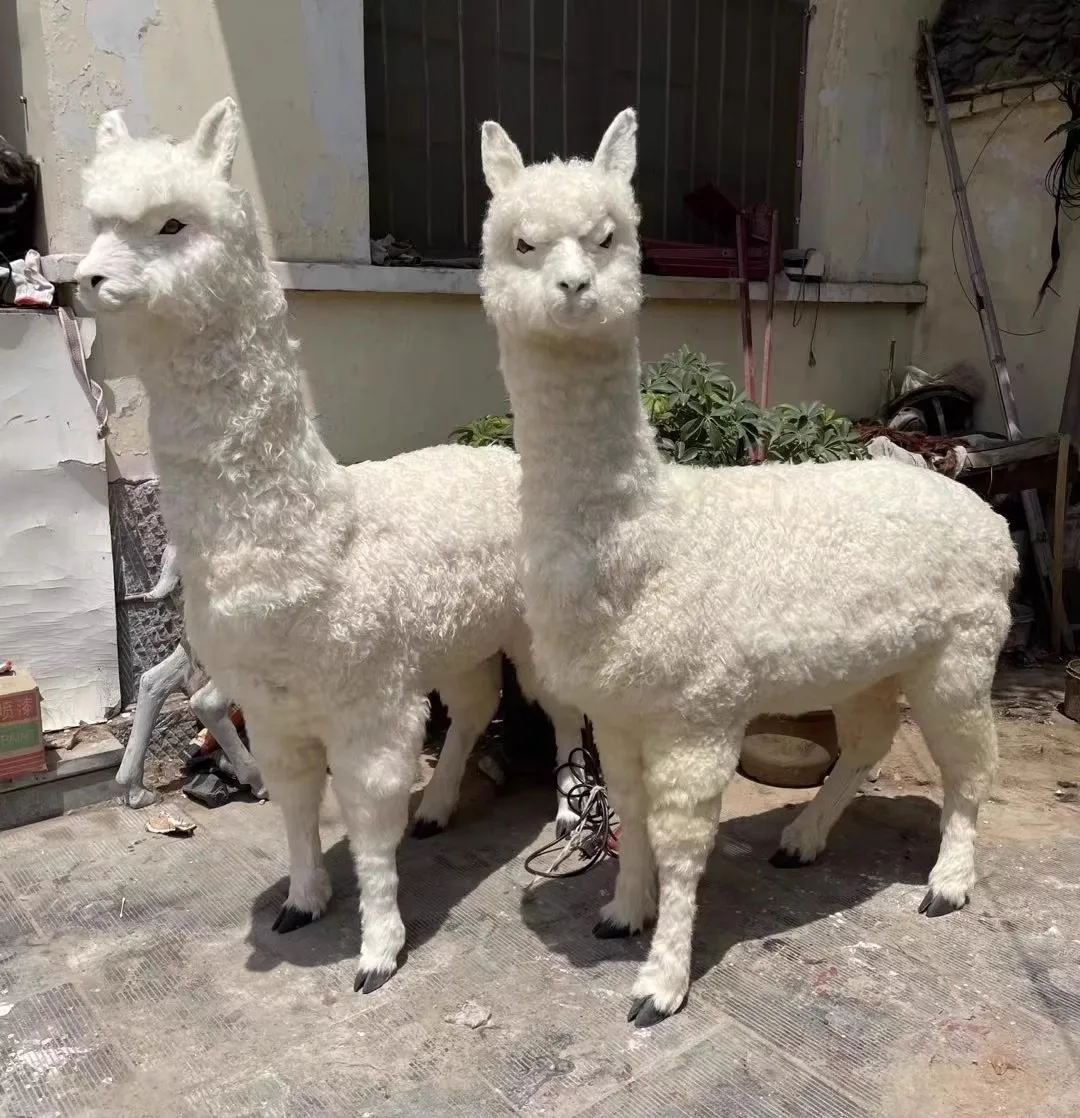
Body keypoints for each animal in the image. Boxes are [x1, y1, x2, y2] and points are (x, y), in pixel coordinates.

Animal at [75, 98, 583, 993]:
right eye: (97, 221)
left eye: (172, 222)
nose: (86, 279)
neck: (315, 531)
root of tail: (503, 456)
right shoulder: (279, 707)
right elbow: (295, 804)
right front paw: (304, 901)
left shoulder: (367, 702)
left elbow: (370, 820)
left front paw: (378, 951)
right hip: (453, 634)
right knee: (474, 705)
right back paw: (439, 808)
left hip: (527, 627)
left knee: (554, 708)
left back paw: (560, 811)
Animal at [477, 107, 1017, 1026]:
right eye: (522, 242)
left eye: (609, 237)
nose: (575, 288)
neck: (647, 540)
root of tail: (993, 525)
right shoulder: (617, 709)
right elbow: (628, 815)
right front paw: (622, 911)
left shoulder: (698, 710)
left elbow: (682, 841)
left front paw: (660, 984)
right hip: (875, 656)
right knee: (867, 739)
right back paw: (803, 838)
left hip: (962, 648)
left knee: (970, 761)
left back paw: (948, 882)